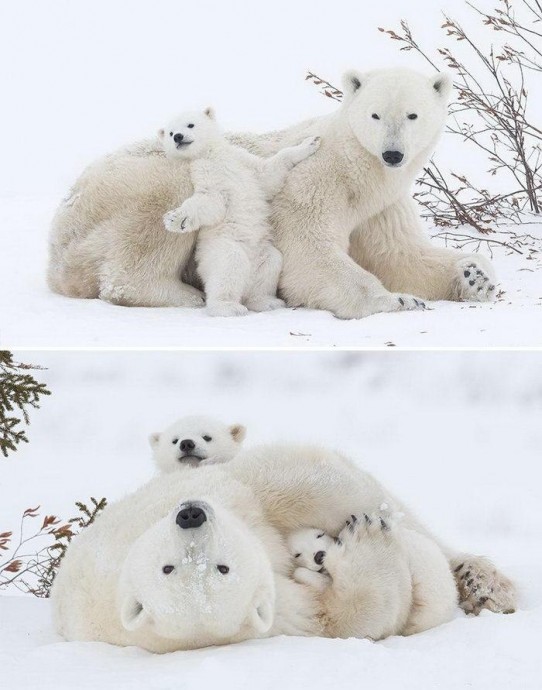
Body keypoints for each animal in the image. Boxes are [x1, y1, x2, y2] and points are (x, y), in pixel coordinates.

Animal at [52, 444, 520, 648]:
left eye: (219, 565)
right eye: (170, 568)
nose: (192, 514)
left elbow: (290, 484)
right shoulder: (275, 615)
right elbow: (343, 617)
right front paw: (366, 538)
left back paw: (484, 583)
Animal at [157, 107, 320, 314]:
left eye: (190, 124)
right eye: (170, 133)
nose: (178, 137)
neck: (211, 155)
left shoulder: (241, 159)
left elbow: (267, 174)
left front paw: (311, 142)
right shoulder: (202, 172)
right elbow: (211, 201)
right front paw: (176, 219)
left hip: (262, 253)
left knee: (270, 264)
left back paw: (267, 302)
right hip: (220, 249)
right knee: (228, 266)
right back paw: (228, 307)